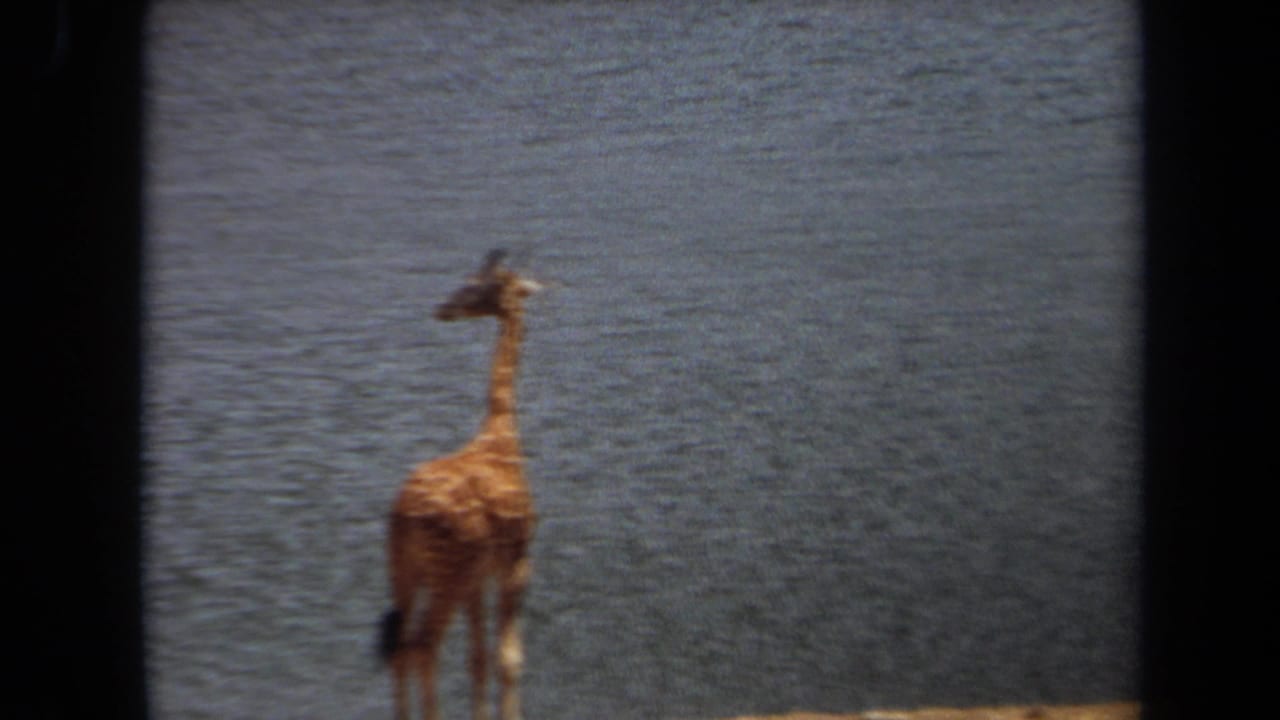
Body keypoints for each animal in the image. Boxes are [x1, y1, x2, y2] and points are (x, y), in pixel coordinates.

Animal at [381, 250, 541, 720]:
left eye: (477, 286)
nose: (444, 308)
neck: (501, 434)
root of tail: (403, 515)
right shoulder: (516, 561)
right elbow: (509, 658)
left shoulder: (480, 576)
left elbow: (479, 658)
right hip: (446, 573)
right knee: (423, 645)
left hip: (404, 570)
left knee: (401, 646)